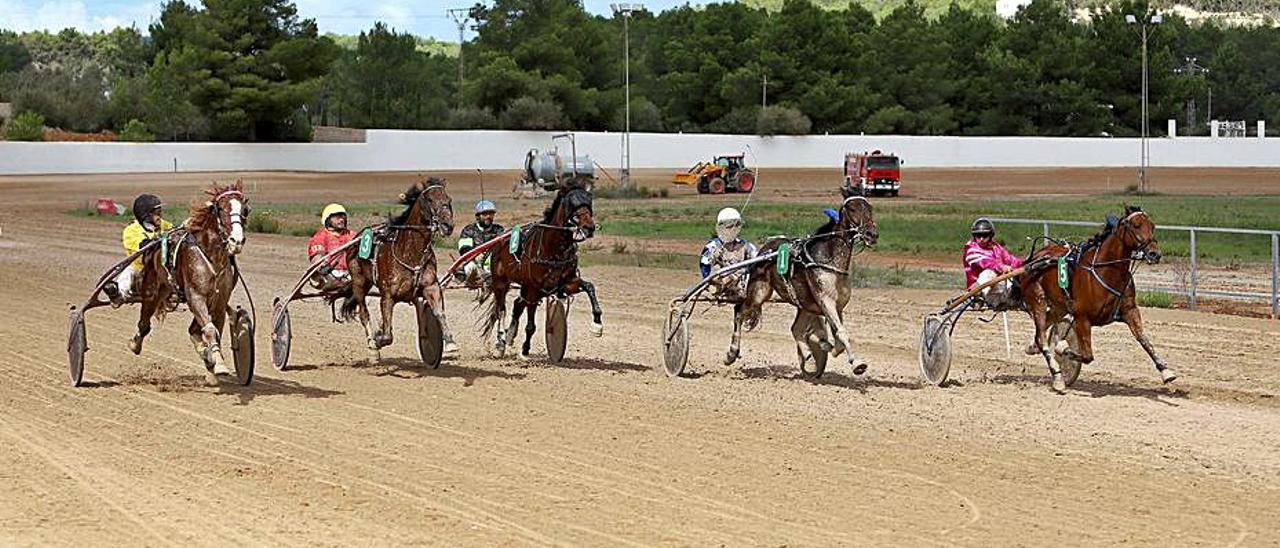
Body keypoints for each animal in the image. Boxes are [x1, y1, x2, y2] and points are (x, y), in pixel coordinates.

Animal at [131, 179, 249, 384]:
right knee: (144, 322)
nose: (237, 241)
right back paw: (135, 343)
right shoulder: (196, 296)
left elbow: (214, 329)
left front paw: (214, 361)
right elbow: (209, 330)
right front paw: (217, 362)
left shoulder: (219, 301)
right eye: (220, 208)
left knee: (192, 329)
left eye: (245, 209)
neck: (211, 255)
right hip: (152, 291)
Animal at [343, 179, 458, 358]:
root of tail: (357, 237)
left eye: (449, 199)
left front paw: (450, 342)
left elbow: (439, 312)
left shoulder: (430, 287)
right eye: (430, 199)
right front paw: (377, 339)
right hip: (359, 282)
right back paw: (372, 346)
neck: (410, 253)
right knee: (363, 312)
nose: (447, 225)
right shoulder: (387, 296)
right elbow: (387, 335)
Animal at [481, 181, 599, 358]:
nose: (589, 227)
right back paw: (501, 342)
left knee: (517, 304)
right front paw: (525, 349)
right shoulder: (533, 289)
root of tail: (498, 241)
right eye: (572, 202)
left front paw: (597, 325)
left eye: (588, 201)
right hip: (501, 283)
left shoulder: (567, 283)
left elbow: (590, 287)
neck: (554, 249)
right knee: (501, 310)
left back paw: (509, 335)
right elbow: (530, 325)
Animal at [732, 195, 880, 376]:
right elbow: (841, 333)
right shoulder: (826, 301)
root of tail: (764, 250)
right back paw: (731, 353)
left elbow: (837, 341)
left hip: (804, 305)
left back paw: (808, 354)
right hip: (758, 293)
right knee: (739, 311)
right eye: (852, 209)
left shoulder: (836, 306)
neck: (829, 260)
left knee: (796, 329)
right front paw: (857, 363)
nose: (871, 234)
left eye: (870, 208)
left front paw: (823, 345)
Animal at [1018, 206, 1177, 394]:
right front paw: (1062, 348)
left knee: (1041, 332)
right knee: (1042, 338)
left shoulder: (1130, 310)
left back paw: (1032, 347)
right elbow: (1086, 355)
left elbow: (1143, 339)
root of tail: (1034, 258)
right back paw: (1057, 379)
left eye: (1152, 226)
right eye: (1136, 226)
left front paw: (1165, 370)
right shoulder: (1081, 318)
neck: (1106, 271)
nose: (1154, 254)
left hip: (1060, 306)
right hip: (1038, 300)